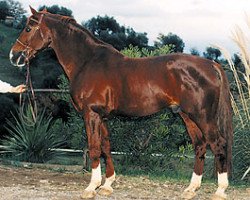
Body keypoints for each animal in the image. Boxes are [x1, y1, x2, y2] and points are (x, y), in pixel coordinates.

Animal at [9, 7, 232, 199]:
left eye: (28, 27)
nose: (14, 55)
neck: (88, 62)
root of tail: (211, 64)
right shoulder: (102, 117)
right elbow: (106, 146)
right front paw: (107, 185)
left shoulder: (91, 114)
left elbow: (94, 147)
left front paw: (91, 188)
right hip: (187, 115)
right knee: (200, 145)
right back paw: (191, 189)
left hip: (202, 116)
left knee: (218, 143)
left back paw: (220, 191)